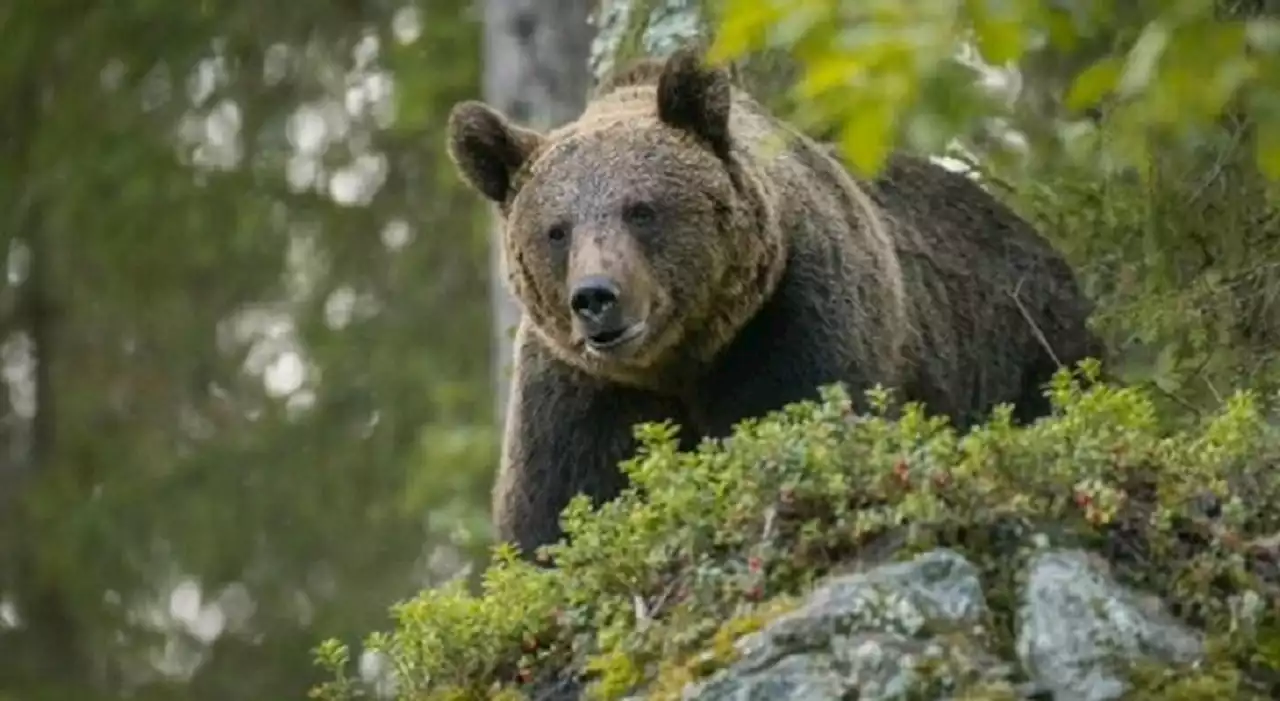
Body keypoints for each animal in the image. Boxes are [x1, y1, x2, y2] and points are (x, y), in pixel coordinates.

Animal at [442, 43, 1100, 557]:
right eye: (556, 230)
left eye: (642, 209)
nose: (596, 298)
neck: (680, 361)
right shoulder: (580, 392)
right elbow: (556, 514)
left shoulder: (794, 320)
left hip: (1027, 348)